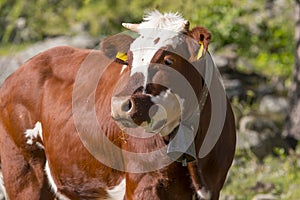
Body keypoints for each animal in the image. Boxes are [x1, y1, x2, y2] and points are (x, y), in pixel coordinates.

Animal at [0, 11, 234, 200]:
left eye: (168, 60)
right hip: (23, 171)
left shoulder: (214, 187)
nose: (120, 104)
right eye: (128, 60)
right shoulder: (143, 186)